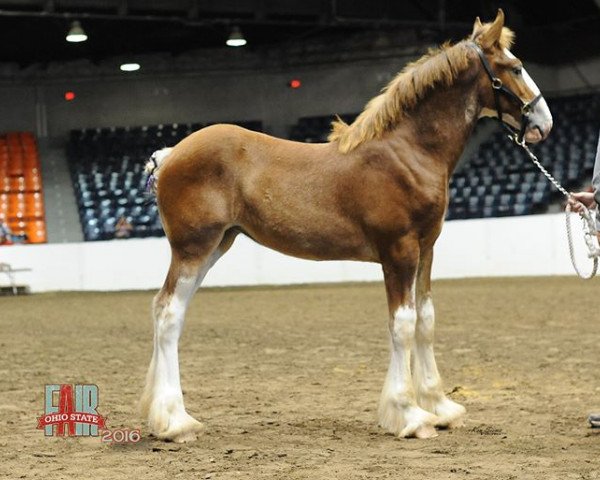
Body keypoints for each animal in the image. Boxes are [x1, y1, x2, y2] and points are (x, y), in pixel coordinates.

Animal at [141, 8, 552, 442]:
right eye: (516, 67)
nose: (545, 124)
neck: (408, 152)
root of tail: (170, 154)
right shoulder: (399, 251)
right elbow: (403, 324)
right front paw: (410, 415)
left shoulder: (426, 249)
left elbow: (425, 320)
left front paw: (441, 408)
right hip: (193, 248)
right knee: (168, 314)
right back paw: (175, 422)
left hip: (217, 245)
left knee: (171, 312)